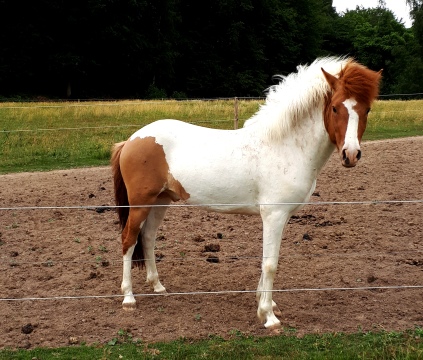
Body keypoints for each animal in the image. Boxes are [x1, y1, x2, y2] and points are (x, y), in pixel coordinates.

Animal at [111, 57, 382, 330]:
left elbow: (266, 261)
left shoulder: (279, 217)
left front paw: (266, 304)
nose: (351, 154)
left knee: (148, 237)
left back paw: (157, 286)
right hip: (141, 203)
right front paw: (269, 317)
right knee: (129, 239)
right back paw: (129, 298)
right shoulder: (274, 215)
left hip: (161, 201)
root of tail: (131, 140)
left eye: (367, 109)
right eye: (335, 108)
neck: (284, 146)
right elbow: (271, 264)